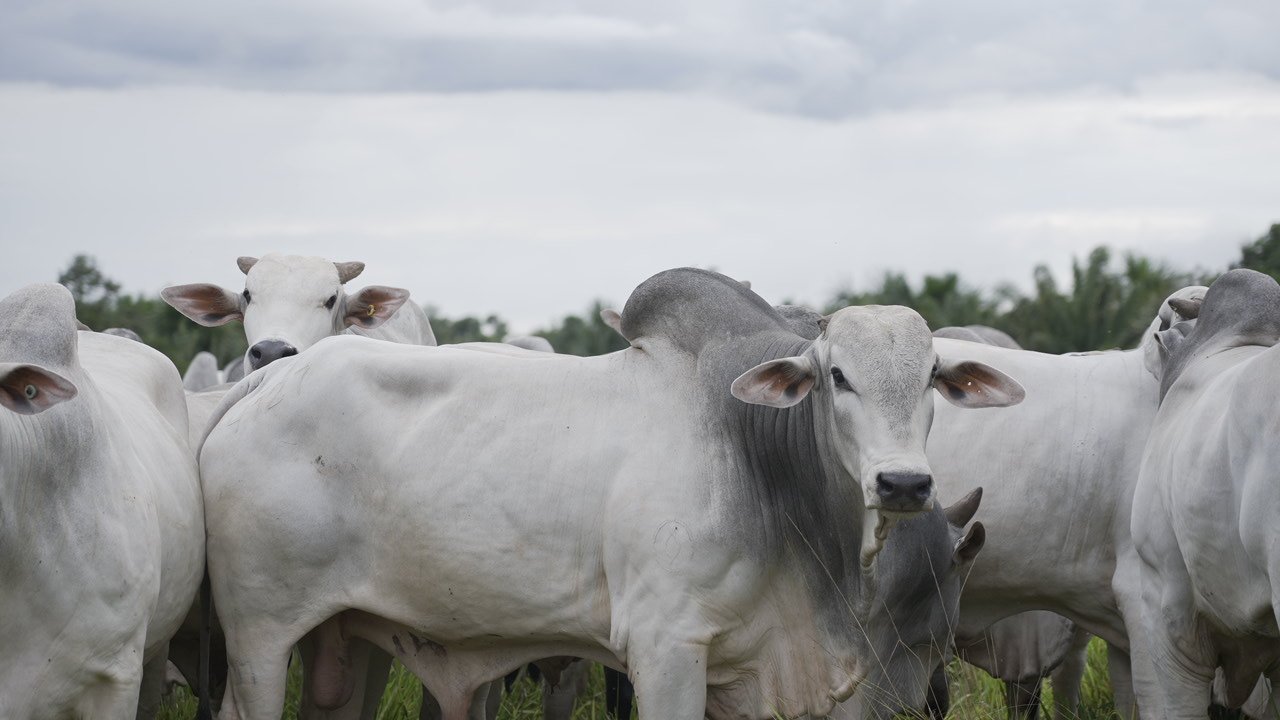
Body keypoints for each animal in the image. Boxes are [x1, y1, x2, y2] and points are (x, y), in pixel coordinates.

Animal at [199, 266, 1018, 717]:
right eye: (837, 376)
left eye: (932, 378)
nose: (904, 482)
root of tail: (265, 381)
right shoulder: (665, 645)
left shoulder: (741, 667)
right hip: (260, 635)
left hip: (341, 639)